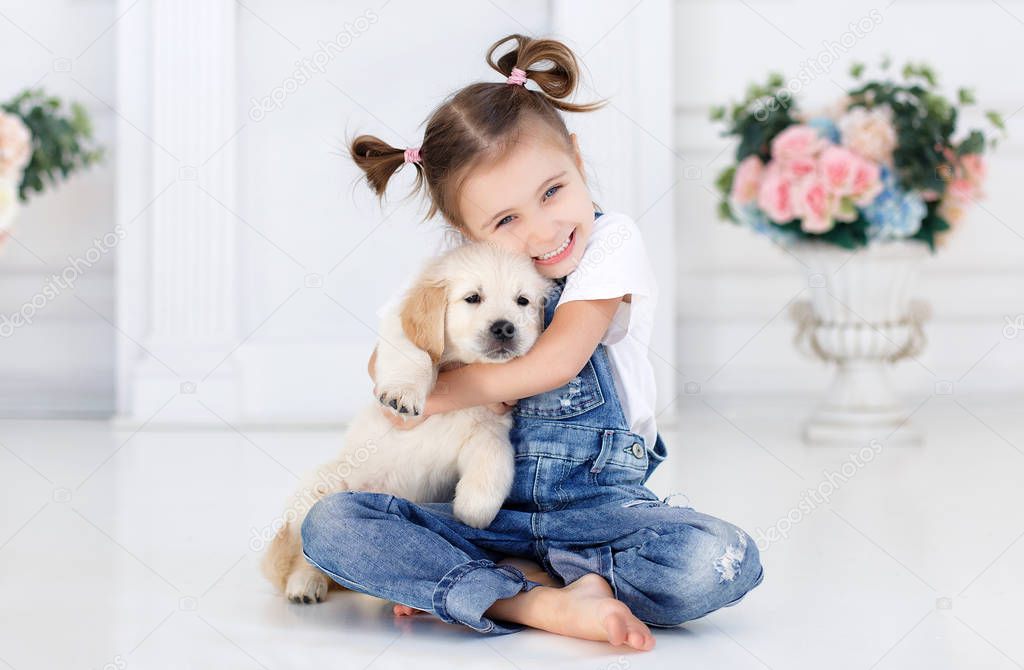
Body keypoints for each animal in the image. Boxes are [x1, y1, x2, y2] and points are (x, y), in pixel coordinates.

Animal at [262, 239, 552, 602]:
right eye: (473, 298)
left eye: (522, 301)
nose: (504, 328)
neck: (464, 365)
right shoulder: (399, 334)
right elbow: (415, 354)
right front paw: (402, 394)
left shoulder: (488, 429)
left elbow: (495, 456)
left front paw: (474, 510)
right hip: (322, 484)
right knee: (307, 545)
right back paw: (305, 583)